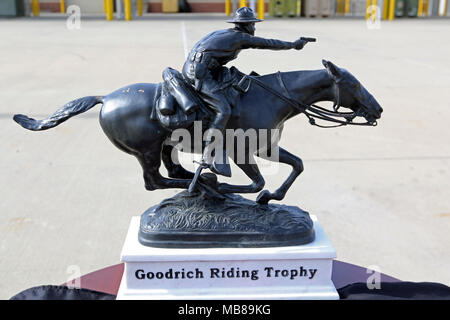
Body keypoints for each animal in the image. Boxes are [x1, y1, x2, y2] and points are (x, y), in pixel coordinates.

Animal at [12, 60, 382, 202]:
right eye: (353, 84)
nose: (377, 109)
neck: (270, 95)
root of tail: (105, 98)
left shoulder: (266, 147)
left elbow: (297, 165)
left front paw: (271, 197)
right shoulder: (243, 151)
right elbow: (256, 181)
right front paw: (231, 188)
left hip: (164, 145)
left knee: (170, 172)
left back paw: (203, 182)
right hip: (147, 151)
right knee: (155, 182)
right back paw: (207, 186)